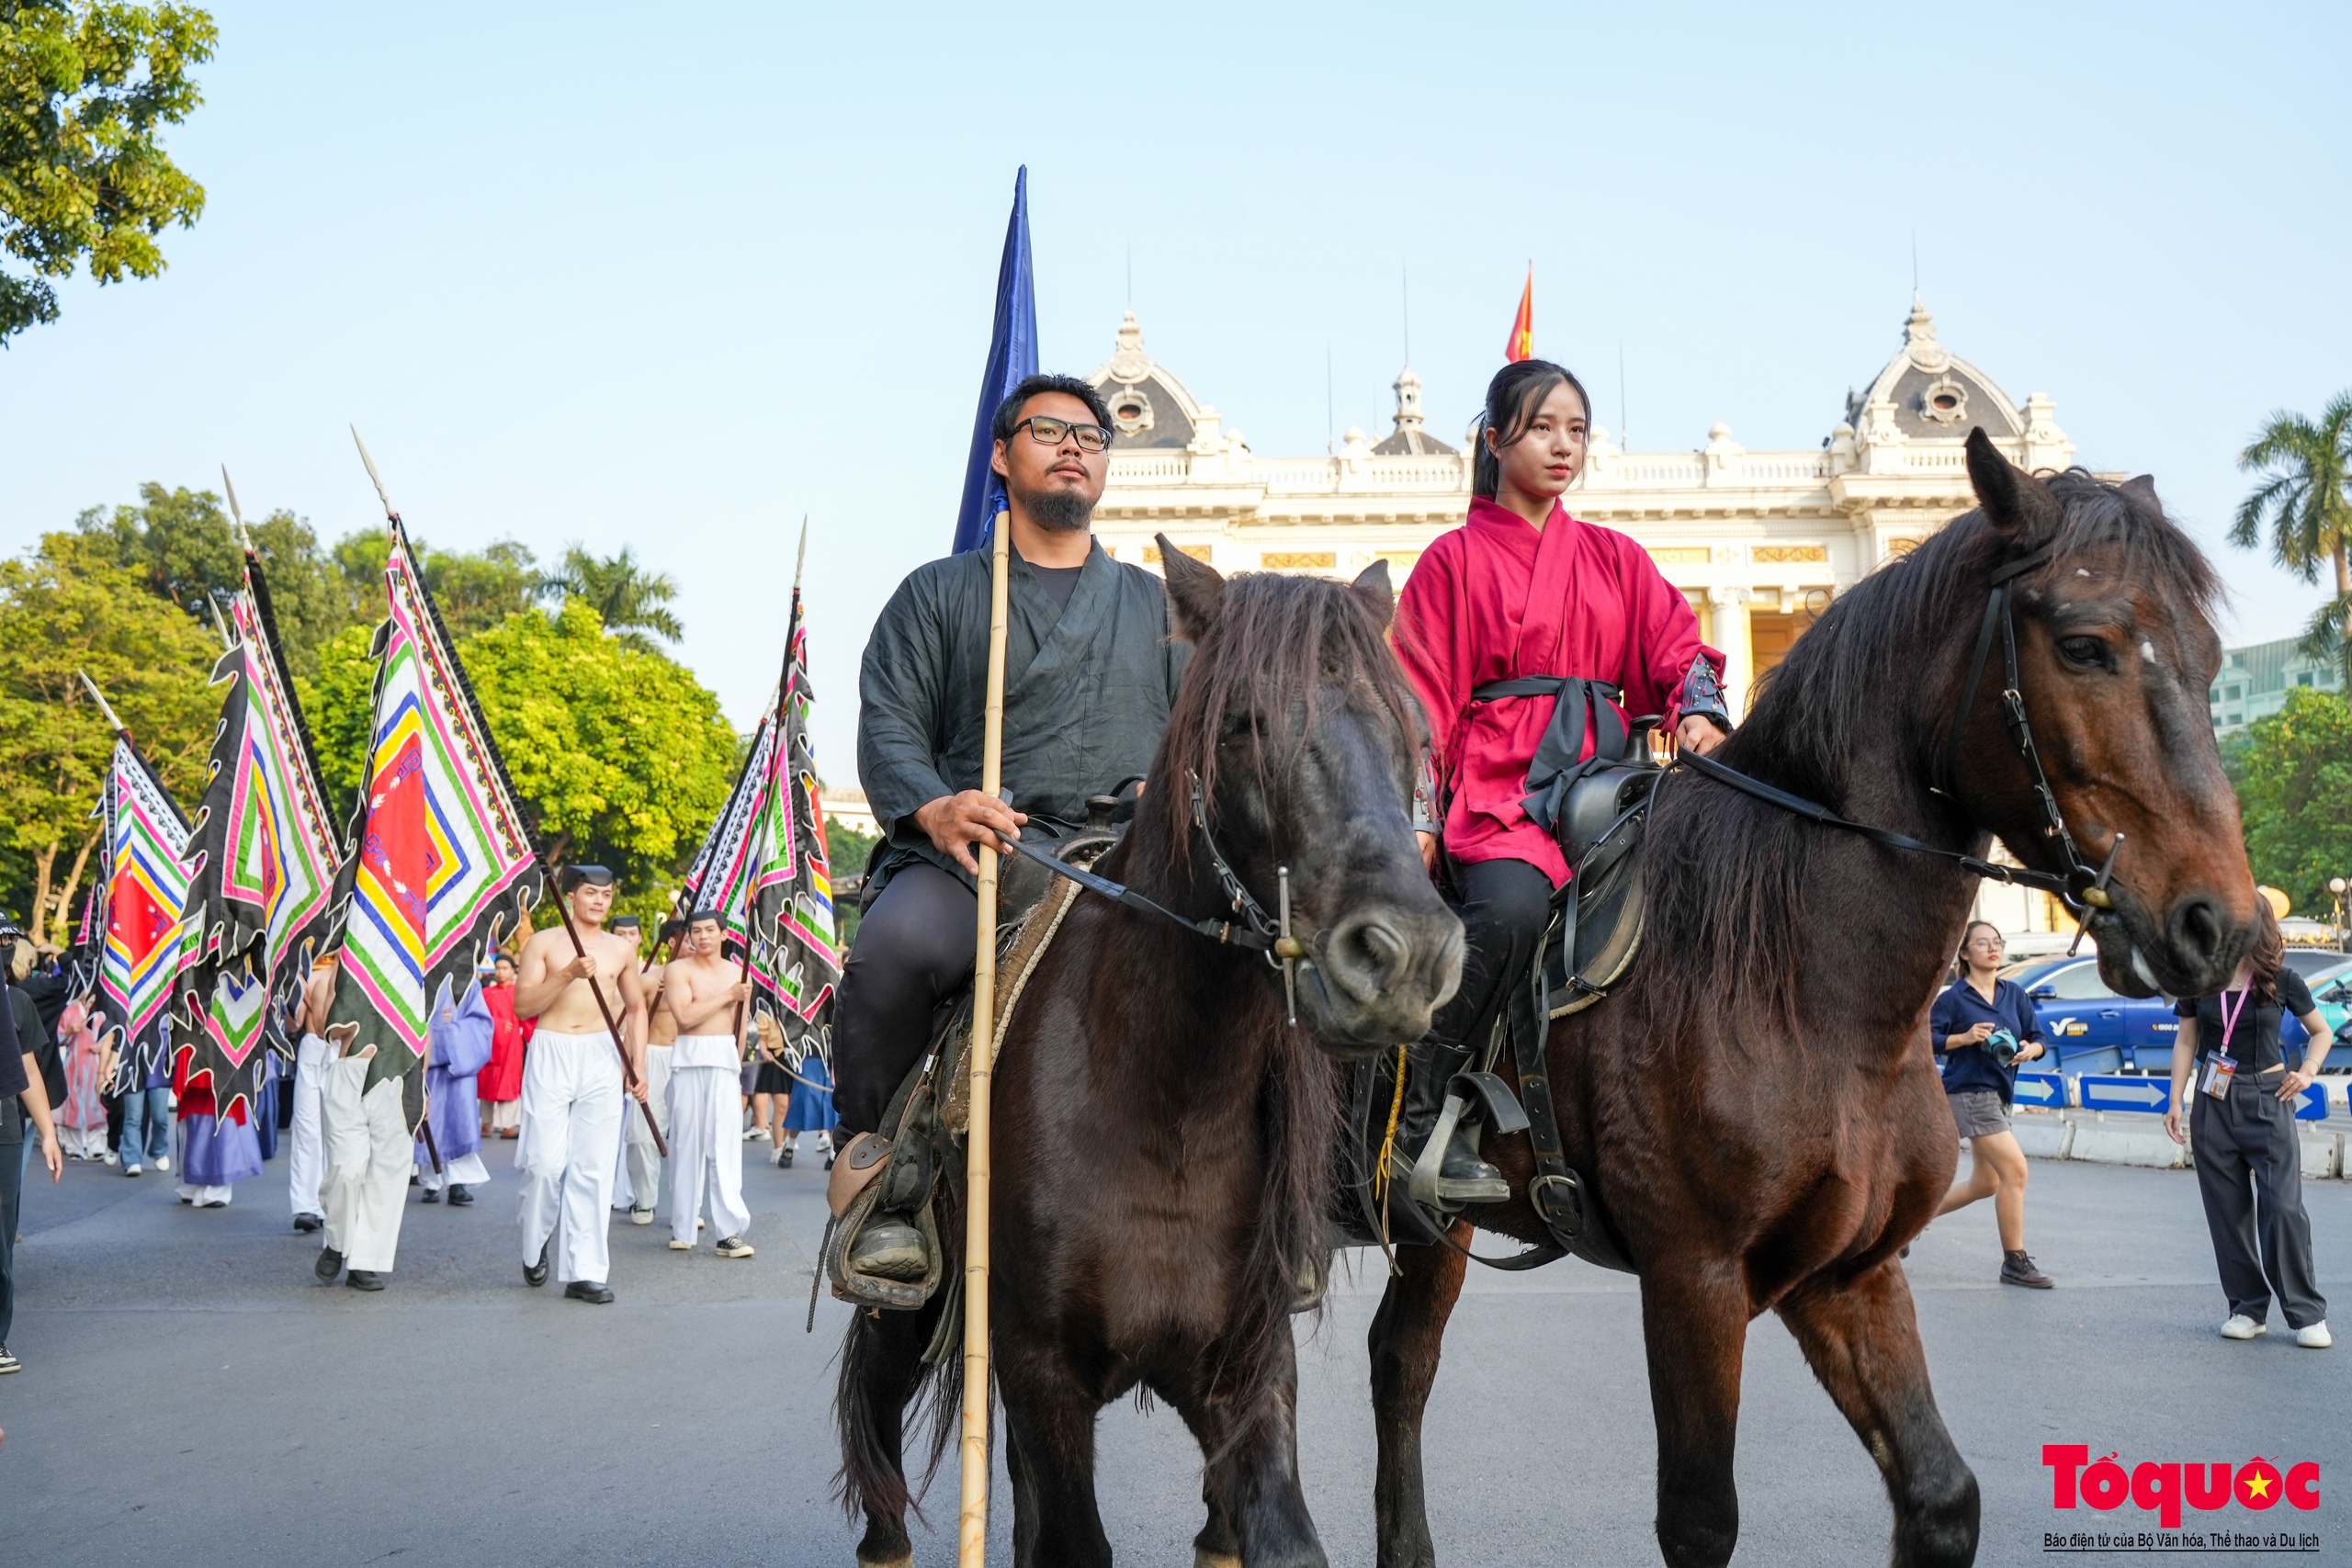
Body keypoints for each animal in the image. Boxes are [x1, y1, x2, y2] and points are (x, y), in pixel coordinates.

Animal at [842, 549, 1467, 1568]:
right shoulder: (1043, 1372)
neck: (1168, 1102)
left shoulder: (1247, 1374)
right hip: (915, 1303)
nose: (1407, 954)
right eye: (1244, 722)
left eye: (1413, 732)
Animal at [1363, 432, 2257, 1568]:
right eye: (2085, 645)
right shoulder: (1693, 1275)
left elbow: (1941, 1496)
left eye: (2211, 659)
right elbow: (1700, 1516)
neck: (1809, 991)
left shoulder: (1845, 1273)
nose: (2220, 927)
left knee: (1400, 1360)